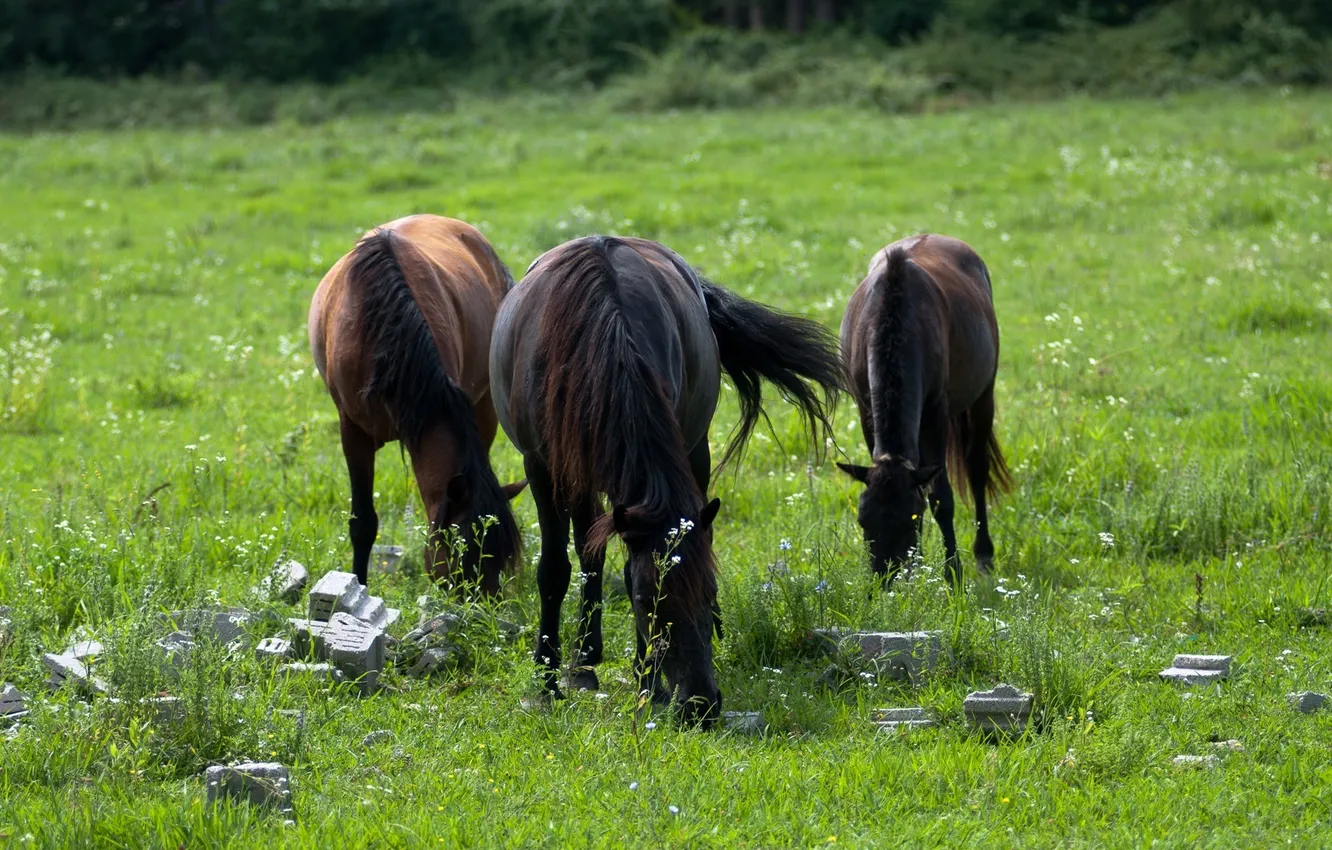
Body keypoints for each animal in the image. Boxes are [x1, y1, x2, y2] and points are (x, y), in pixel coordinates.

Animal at [490, 235, 843, 725]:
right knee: (587, 550)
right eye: (643, 601)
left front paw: (648, 687)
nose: (701, 706)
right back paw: (582, 666)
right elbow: (555, 570)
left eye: (710, 593)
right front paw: (546, 680)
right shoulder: (542, 468)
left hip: (691, 449)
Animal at [836, 234, 1012, 587]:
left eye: (912, 519)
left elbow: (941, 498)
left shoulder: (935, 413)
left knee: (977, 468)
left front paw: (953, 573)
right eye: (863, 521)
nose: (885, 581)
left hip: (983, 394)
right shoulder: (865, 408)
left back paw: (984, 554)